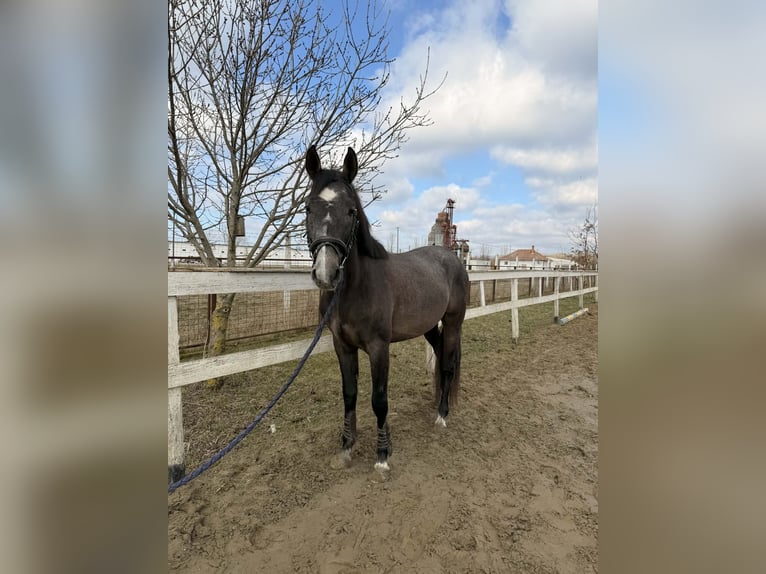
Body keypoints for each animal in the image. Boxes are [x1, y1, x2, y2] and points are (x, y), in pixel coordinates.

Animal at [304, 145, 469, 473]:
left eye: (351, 210)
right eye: (307, 209)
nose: (326, 274)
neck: (355, 287)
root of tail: (451, 258)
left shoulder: (379, 347)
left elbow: (379, 400)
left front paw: (382, 456)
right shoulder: (342, 345)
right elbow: (350, 394)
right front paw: (346, 446)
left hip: (453, 322)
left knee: (447, 364)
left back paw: (442, 414)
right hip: (430, 327)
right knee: (440, 355)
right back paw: (436, 402)